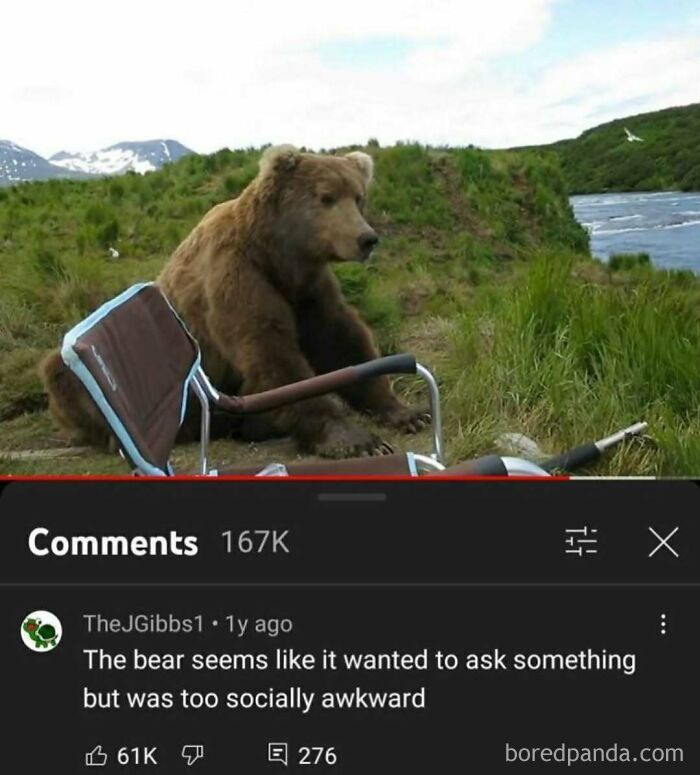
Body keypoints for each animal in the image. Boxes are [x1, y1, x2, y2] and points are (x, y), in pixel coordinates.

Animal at [40, 145, 428, 459]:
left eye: (358, 197)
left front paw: (407, 412)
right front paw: (354, 439)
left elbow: (341, 339)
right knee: (61, 373)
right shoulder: (235, 275)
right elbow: (270, 348)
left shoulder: (307, 288)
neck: (276, 254)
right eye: (327, 197)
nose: (366, 238)